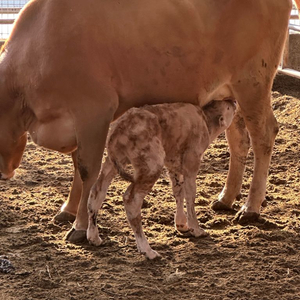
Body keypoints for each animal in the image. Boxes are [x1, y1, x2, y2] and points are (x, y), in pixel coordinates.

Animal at [85, 99, 236, 258]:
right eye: (228, 108)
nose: (233, 101)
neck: (205, 119)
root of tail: (120, 127)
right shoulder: (191, 162)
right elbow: (190, 195)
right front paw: (196, 229)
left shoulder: (173, 165)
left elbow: (178, 191)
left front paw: (181, 225)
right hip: (151, 164)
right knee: (131, 200)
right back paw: (147, 250)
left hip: (114, 161)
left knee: (97, 191)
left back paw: (94, 237)